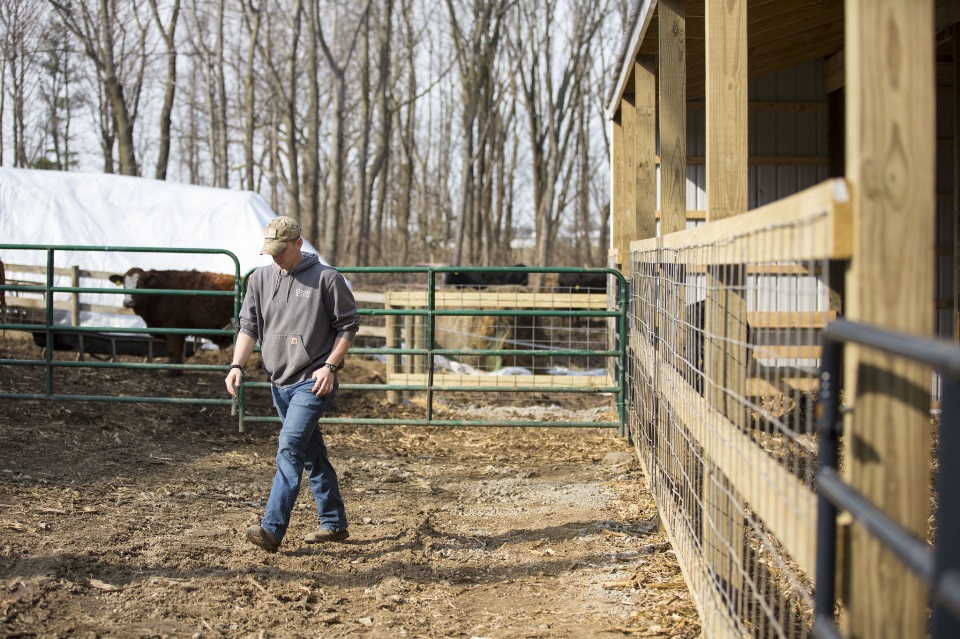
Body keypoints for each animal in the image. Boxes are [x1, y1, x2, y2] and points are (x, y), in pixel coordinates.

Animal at [107, 268, 236, 370]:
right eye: (124, 284)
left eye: (140, 284)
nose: (127, 302)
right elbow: (179, 351)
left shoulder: (172, 328)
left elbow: (173, 350)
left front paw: (172, 372)